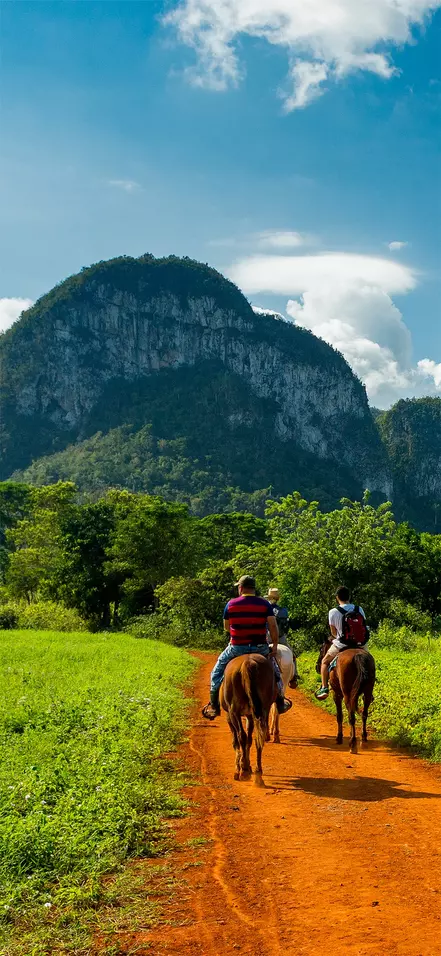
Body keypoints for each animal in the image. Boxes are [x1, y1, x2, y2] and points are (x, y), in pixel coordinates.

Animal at [220, 653, 276, 781]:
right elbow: (249, 739)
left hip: (234, 712)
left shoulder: (229, 716)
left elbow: (236, 741)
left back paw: (244, 770)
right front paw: (247, 764)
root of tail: (248, 662)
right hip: (263, 709)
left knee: (241, 735)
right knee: (259, 736)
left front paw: (240, 767)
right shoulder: (250, 715)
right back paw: (258, 770)